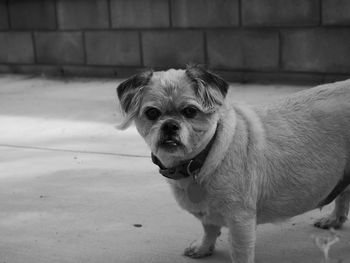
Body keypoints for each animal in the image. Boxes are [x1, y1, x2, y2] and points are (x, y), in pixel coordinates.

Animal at [117, 64, 350, 263]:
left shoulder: (241, 221)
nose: (170, 125)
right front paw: (204, 247)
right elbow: (209, 228)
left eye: (190, 111)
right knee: (343, 194)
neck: (202, 157)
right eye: (152, 113)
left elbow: (239, 252)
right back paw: (334, 219)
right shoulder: (207, 213)